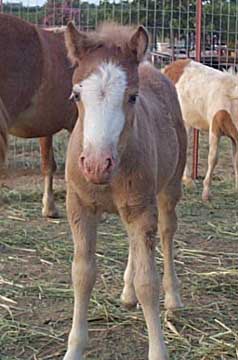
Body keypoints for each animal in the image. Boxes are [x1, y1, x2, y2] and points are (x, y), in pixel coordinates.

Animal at [63, 22, 188, 360]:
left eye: (132, 97)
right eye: (76, 94)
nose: (96, 165)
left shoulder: (142, 209)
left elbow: (148, 283)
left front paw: (158, 351)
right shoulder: (78, 207)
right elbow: (82, 274)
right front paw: (74, 349)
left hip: (168, 189)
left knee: (167, 232)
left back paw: (174, 299)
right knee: (134, 243)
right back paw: (127, 293)